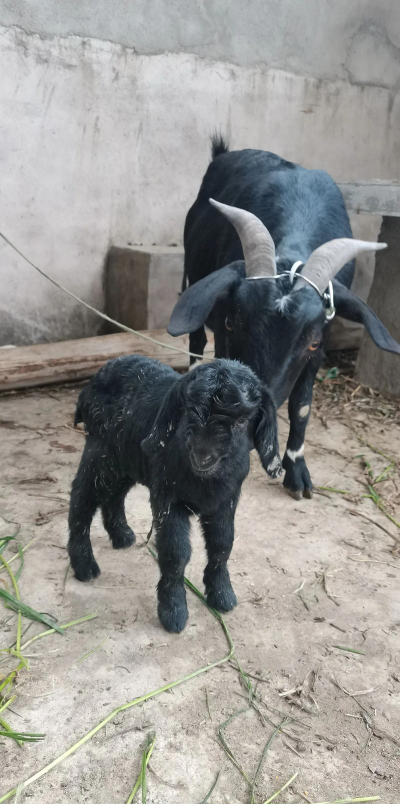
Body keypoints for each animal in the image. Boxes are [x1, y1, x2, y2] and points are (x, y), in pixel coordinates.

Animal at [68, 355, 280, 633]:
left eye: (242, 421)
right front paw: (174, 612)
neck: (204, 480)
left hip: (126, 461)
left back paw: (122, 536)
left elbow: (222, 544)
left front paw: (223, 596)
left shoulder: (226, 501)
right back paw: (84, 566)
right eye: (189, 411)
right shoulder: (168, 499)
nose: (203, 455)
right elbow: (175, 553)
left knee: (114, 496)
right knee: (81, 498)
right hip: (99, 453)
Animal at [168, 137, 400, 500]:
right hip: (193, 276)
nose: (250, 428)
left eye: (312, 342)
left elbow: (301, 406)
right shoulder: (222, 333)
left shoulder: (320, 347)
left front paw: (296, 472)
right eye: (233, 324)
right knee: (196, 342)